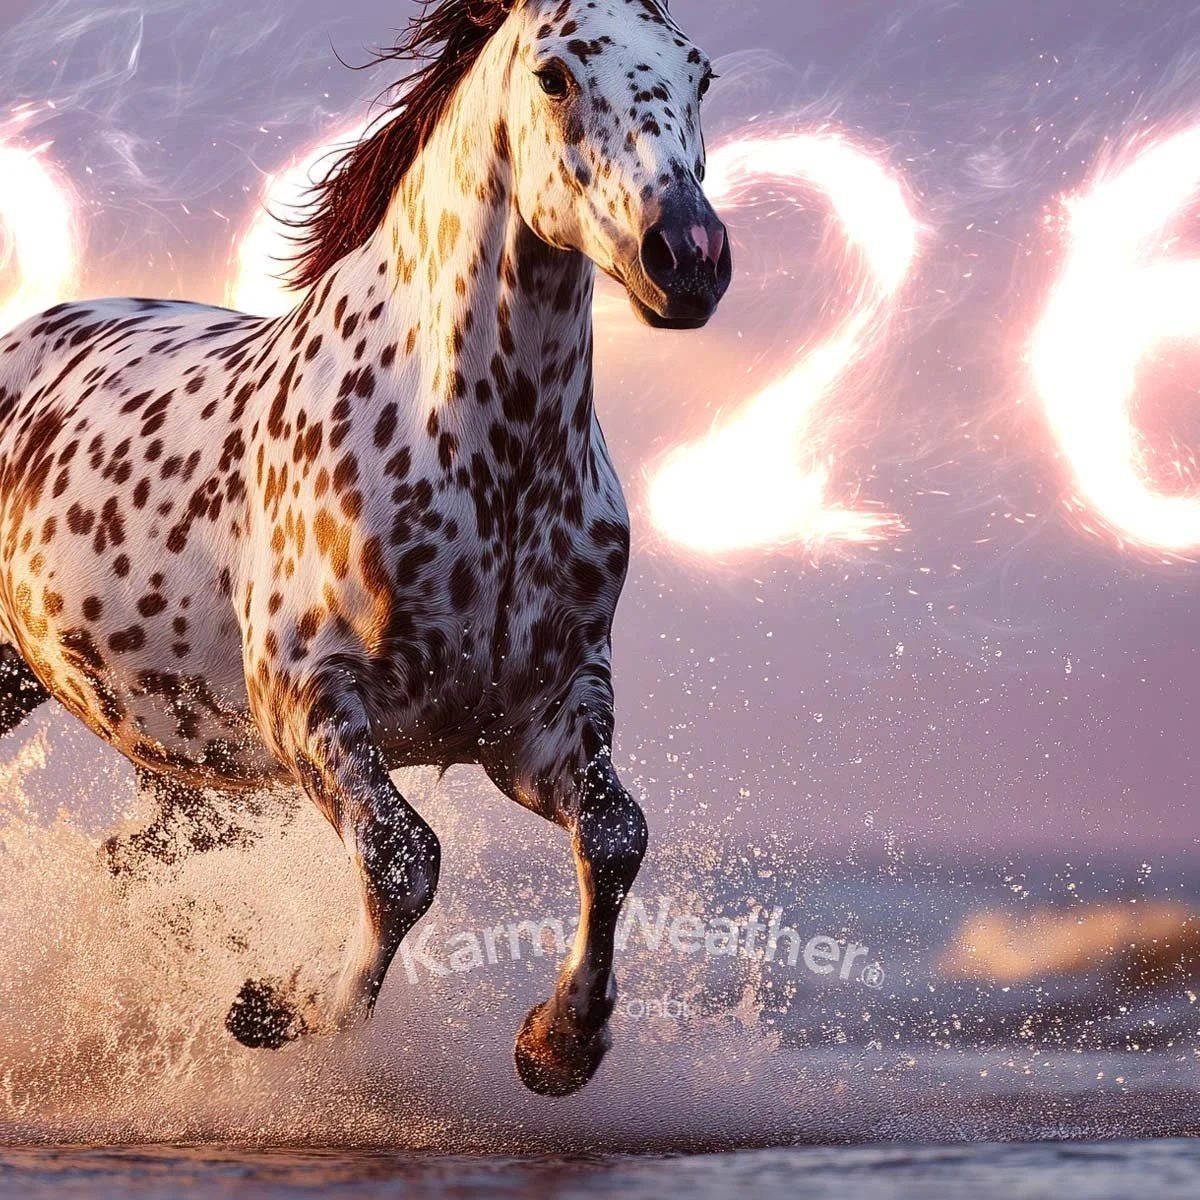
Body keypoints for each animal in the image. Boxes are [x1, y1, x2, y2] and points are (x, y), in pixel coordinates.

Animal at [0, 0, 731, 1096]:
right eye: (555, 76)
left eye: (700, 74)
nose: (687, 257)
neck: (486, 459)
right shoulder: (311, 703)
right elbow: (404, 859)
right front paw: (281, 1010)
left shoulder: (542, 720)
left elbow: (615, 836)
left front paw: (558, 1044)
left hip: (192, 766)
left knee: (126, 862)